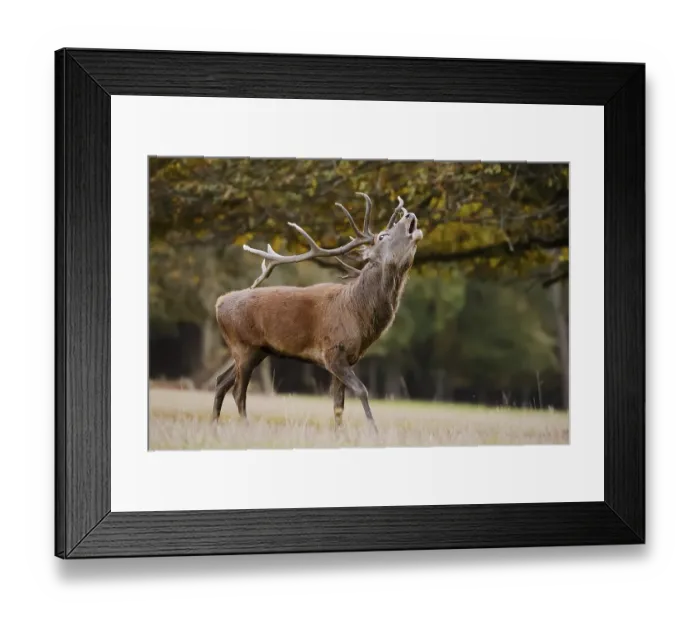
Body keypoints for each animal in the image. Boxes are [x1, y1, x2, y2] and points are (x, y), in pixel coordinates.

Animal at [212, 193, 423, 431]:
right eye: (382, 236)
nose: (409, 215)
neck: (358, 314)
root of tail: (219, 303)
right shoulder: (332, 352)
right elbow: (361, 390)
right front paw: (373, 431)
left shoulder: (348, 358)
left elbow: (338, 405)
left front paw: (341, 434)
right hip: (244, 346)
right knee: (238, 391)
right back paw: (246, 427)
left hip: (255, 350)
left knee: (221, 381)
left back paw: (214, 426)